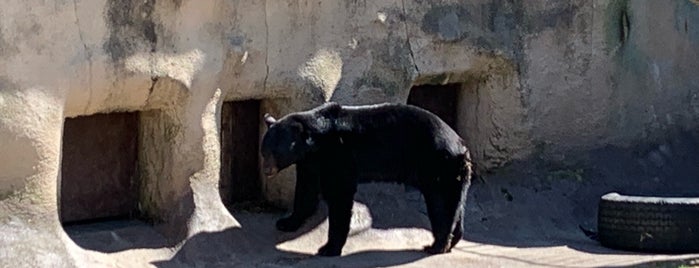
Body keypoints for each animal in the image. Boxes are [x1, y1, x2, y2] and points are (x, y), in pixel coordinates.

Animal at [260, 101, 474, 256]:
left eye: (275, 152)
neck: (316, 141)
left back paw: (436, 245)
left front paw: (328, 248)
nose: (266, 170)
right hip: (453, 174)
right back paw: (452, 240)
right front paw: (287, 222)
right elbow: (306, 189)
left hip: (436, 165)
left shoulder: (338, 155)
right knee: (455, 204)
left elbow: (339, 194)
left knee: (440, 204)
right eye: (264, 151)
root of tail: (461, 146)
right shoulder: (310, 161)